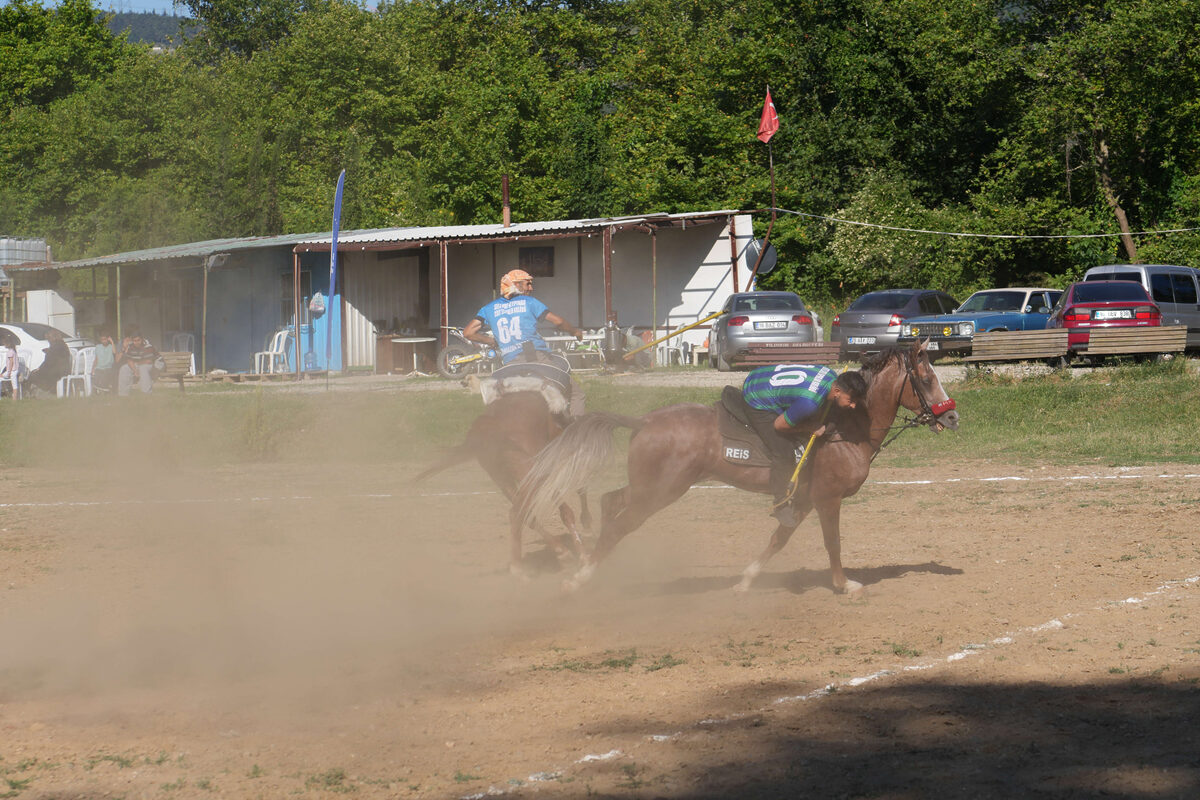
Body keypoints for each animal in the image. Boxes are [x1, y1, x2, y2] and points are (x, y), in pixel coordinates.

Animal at [415, 388, 588, 575]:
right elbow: (567, 509)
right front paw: (582, 551)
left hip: (505, 478)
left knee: (524, 514)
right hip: (529, 474)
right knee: (518, 513)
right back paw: (521, 565)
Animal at [520, 345, 960, 594]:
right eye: (925, 378)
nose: (952, 417)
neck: (847, 428)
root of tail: (644, 420)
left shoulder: (803, 500)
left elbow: (778, 539)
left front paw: (746, 580)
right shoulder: (828, 499)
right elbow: (832, 543)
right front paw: (844, 584)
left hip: (651, 486)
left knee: (612, 503)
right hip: (660, 492)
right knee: (618, 524)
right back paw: (580, 579)